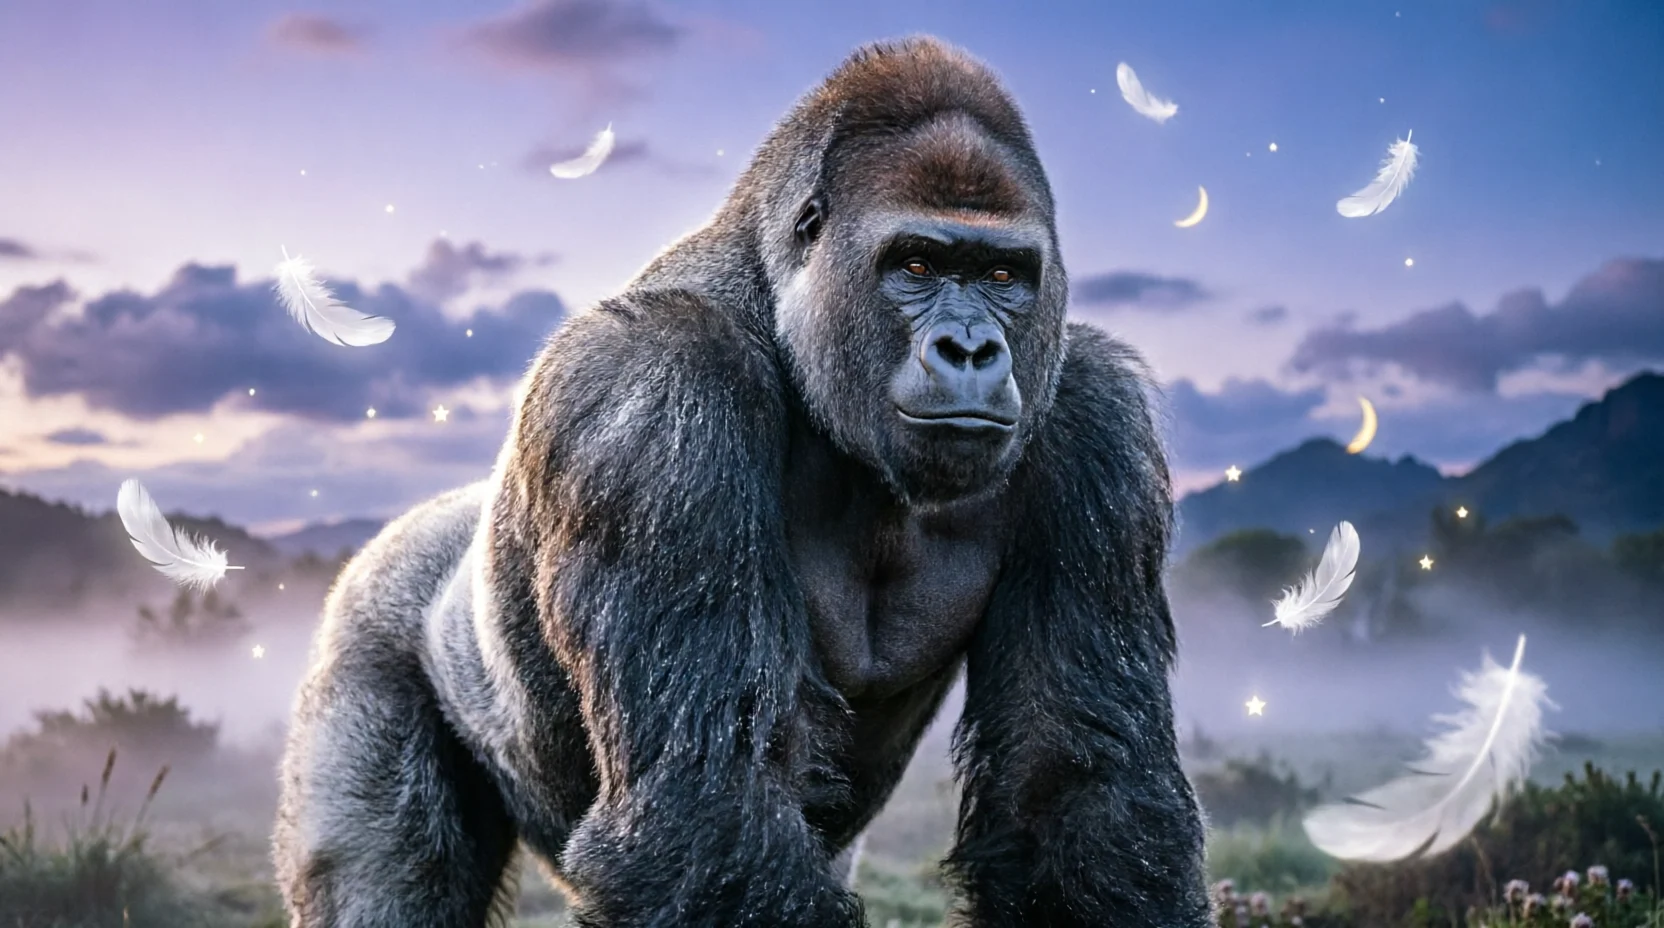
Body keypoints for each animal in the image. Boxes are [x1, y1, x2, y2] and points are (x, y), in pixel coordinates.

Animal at [273, 36, 1209, 928]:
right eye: (915, 265)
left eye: (1003, 275)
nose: (972, 350)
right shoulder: (655, 391)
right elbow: (704, 800)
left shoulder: (1095, 417)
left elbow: (1077, 795)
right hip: (363, 633)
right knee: (386, 881)